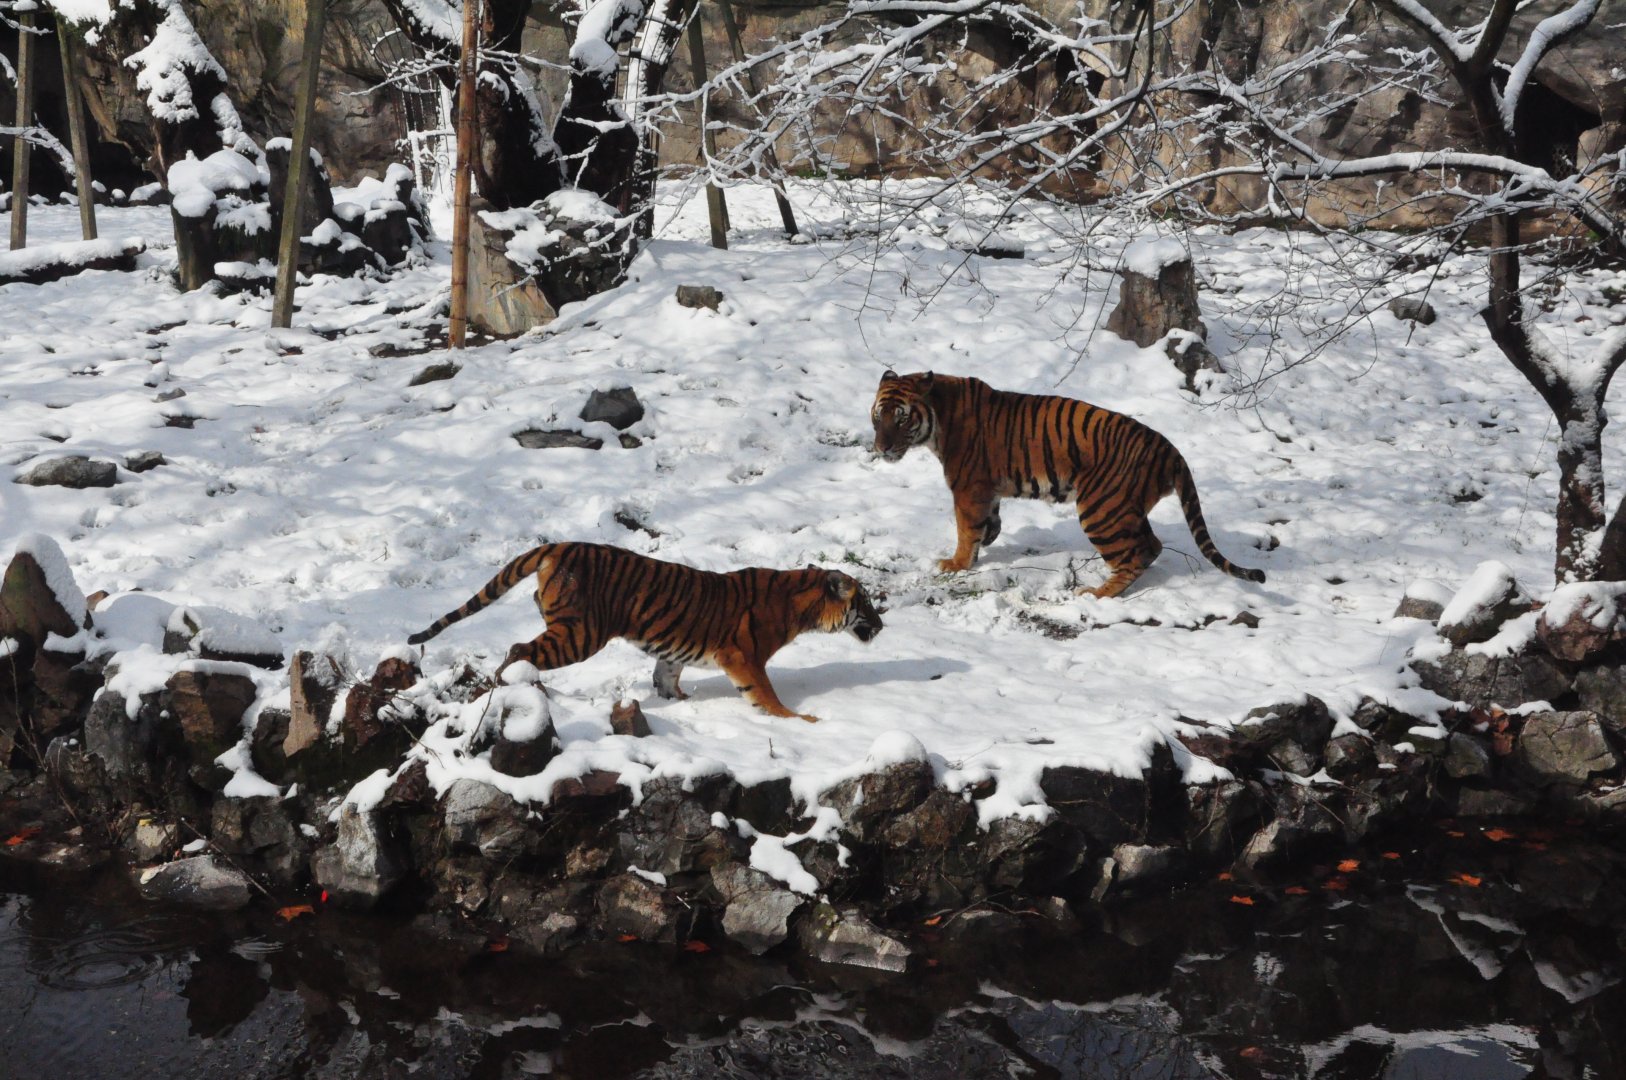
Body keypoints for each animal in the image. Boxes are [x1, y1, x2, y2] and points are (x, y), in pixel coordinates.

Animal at [407, 542, 883, 722]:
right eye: (865, 602)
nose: (882, 625)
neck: (800, 603)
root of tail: (558, 545)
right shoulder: (743, 656)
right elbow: (765, 695)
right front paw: (800, 720)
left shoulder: (673, 652)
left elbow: (667, 677)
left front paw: (679, 703)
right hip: (580, 634)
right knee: (518, 648)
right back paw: (517, 685)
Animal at [869, 370, 1266, 598]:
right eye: (878, 417)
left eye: (901, 419)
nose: (881, 447)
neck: (938, 417)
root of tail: (1169, 449)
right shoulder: (986, 489)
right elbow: (988, 521)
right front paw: (989, 538)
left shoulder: (967, 486)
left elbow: (965, 530)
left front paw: (956, 563)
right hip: (1126, 508)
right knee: (1150, 546)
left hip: (1101, 509)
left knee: (1135, 554)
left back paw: (1097, 594)